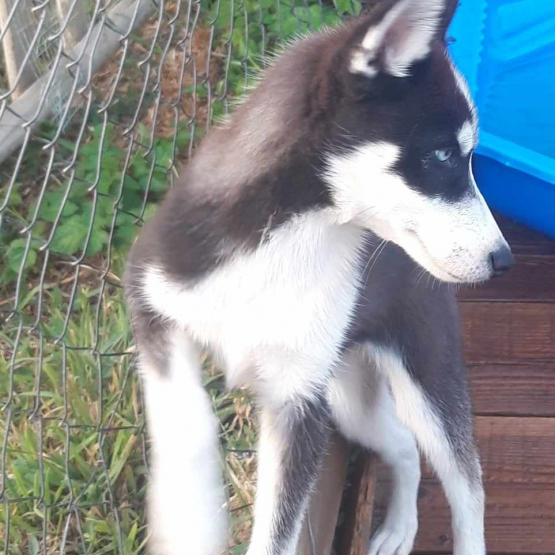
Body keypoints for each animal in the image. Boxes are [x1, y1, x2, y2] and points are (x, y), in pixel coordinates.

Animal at [125, 0, 512, 552]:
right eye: (442, 155)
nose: (504, 259)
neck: (291, 238)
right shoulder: (152, 298)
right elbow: (187, 424)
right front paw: (190, 519)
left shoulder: (298, 405)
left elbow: (276, 535)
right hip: (347, 398)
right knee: (403, 444)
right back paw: (399, 526)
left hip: (423, 374)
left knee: (467, 483)